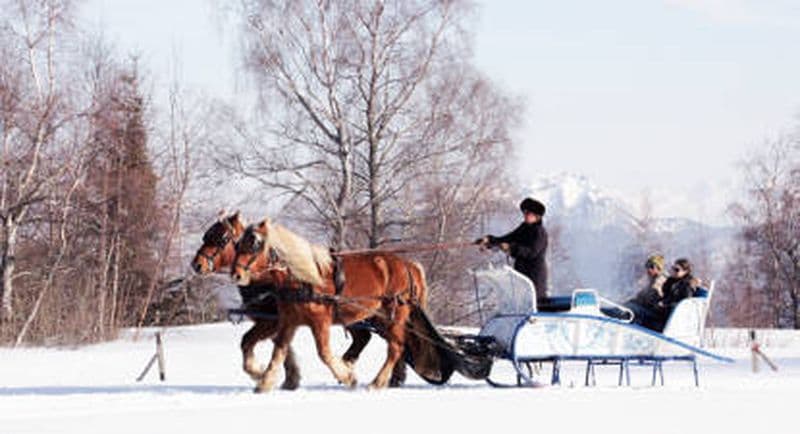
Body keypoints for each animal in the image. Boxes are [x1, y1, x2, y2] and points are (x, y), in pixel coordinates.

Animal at [231, 217, 430, 391]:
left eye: (255, 244)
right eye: (237, 244)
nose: (236, 274)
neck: (302, 279)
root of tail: (408, 265)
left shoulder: (320, 320)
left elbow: (324, 353)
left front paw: (348, 377)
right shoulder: (288, 321)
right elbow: (278, 352)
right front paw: (264, 382)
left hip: (392, 315)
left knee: (395, 347)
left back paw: (377, 382)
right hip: (378, 317)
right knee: (390, 343)